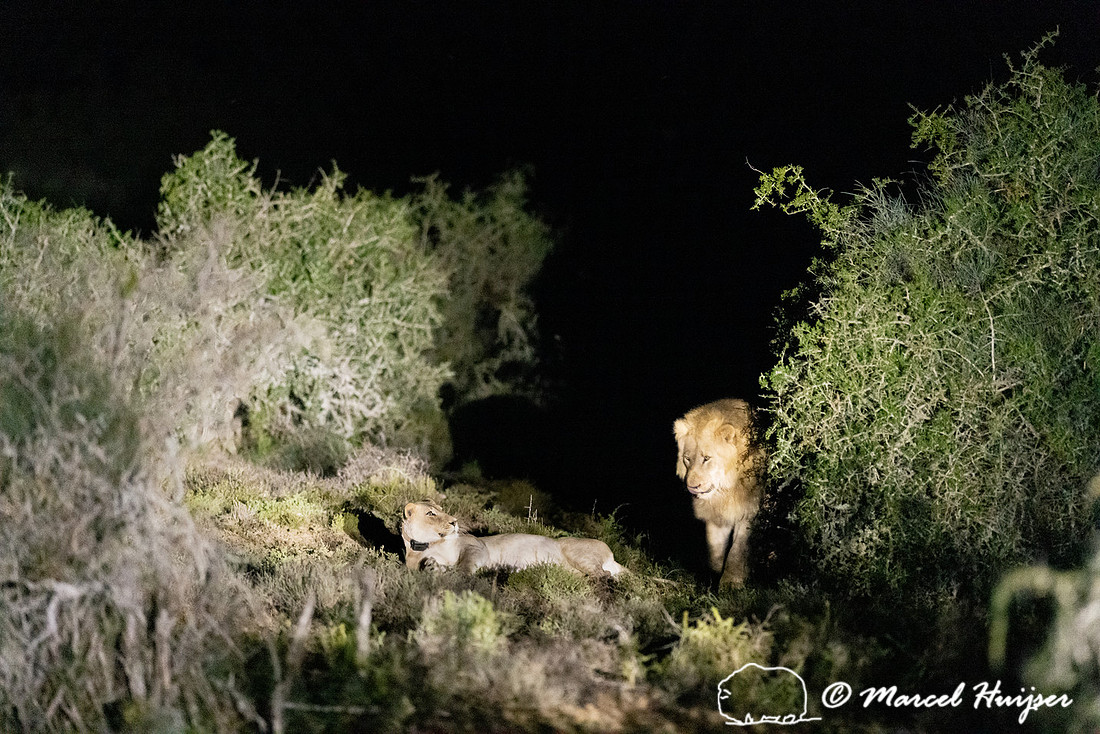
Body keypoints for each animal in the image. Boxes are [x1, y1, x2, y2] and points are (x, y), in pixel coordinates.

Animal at [401, 500, 626, 577]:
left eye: (441, 509)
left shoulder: (477, 546)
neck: (427, 545)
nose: (455, 521)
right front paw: (432, 567)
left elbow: (465, 564)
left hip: (576, 552)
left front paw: (460, 575)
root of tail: (612, 555)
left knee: (603, 574)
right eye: (431, 513)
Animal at [674, 399, 765, 587]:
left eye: (706, 458)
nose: (692, 486)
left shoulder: (748, 514)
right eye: (687, 459)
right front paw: (712, 578)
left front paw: (731, 584)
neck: (724, 492)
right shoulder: (715, 518)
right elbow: (714, 551)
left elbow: (737, 551)